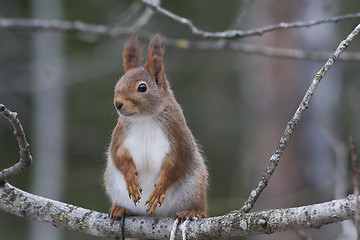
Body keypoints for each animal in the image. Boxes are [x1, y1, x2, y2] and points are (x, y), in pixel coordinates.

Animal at [104, 34, 208, 221]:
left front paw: (159, 190)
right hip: (113, 182)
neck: (144, 118)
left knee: (196, 203)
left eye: (142, 87)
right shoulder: (120, 134)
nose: (118, 104)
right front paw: (131, 180)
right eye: (118, 83)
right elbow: (118, 155)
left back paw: (192, 211)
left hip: (193, 186)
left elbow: (177, 162)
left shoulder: (178, 134)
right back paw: (120, 209)